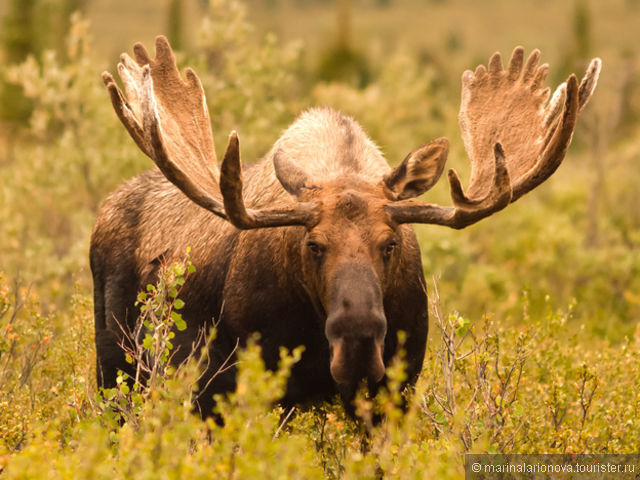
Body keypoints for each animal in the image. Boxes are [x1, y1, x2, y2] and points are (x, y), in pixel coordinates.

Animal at [92, 37, 604, 418]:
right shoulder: (242, 388)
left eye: (390, 244)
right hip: (118, 367)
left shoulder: (394, 391)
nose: (358, 340)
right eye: (314, 245)